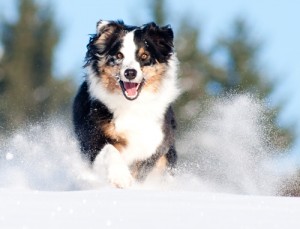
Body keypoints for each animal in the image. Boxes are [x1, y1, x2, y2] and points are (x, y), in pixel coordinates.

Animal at [72, 20, 180, 188]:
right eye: (118, 55)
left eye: (144, 56)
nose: (130, 73)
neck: (132, 105)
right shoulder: (92, 137)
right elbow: (109, 150)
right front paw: (120, 177)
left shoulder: (155, 142)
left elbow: (141, 169)